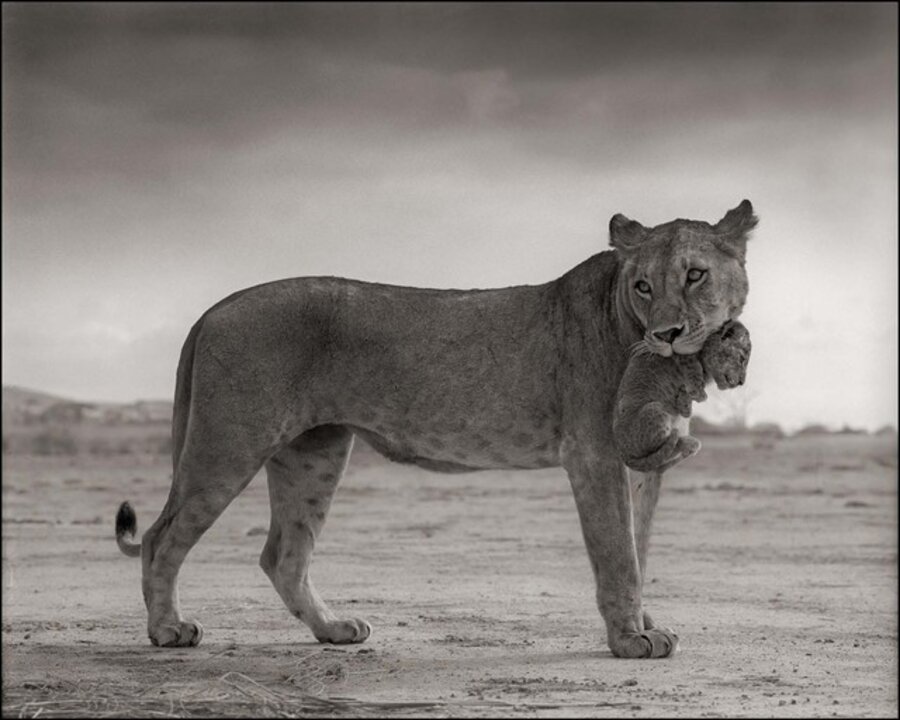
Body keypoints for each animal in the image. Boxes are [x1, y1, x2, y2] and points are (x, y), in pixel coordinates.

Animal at [614, 319, 752, 473]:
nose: (741, 382)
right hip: (654, 408)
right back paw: (688, 442)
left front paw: (685, 403)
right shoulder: (681, 351)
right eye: (742, 359)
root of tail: (623, 455)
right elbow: (691, 368)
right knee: (664, 450)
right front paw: (694, 395)